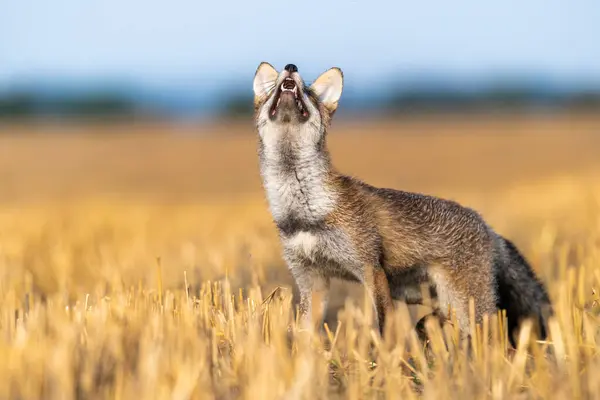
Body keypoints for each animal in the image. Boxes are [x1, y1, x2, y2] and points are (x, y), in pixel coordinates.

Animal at [250, 62, 552, 346]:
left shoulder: (369, 268)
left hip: (466, 305)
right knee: (440, 319)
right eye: (272, 90)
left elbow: (385, 326)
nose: (291, 67)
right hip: (422, 296)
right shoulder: (311, 279)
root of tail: (488, 227)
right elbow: (304, 332)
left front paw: (385, 359)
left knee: (492, 339)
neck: (304, 213)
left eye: (310, 94)